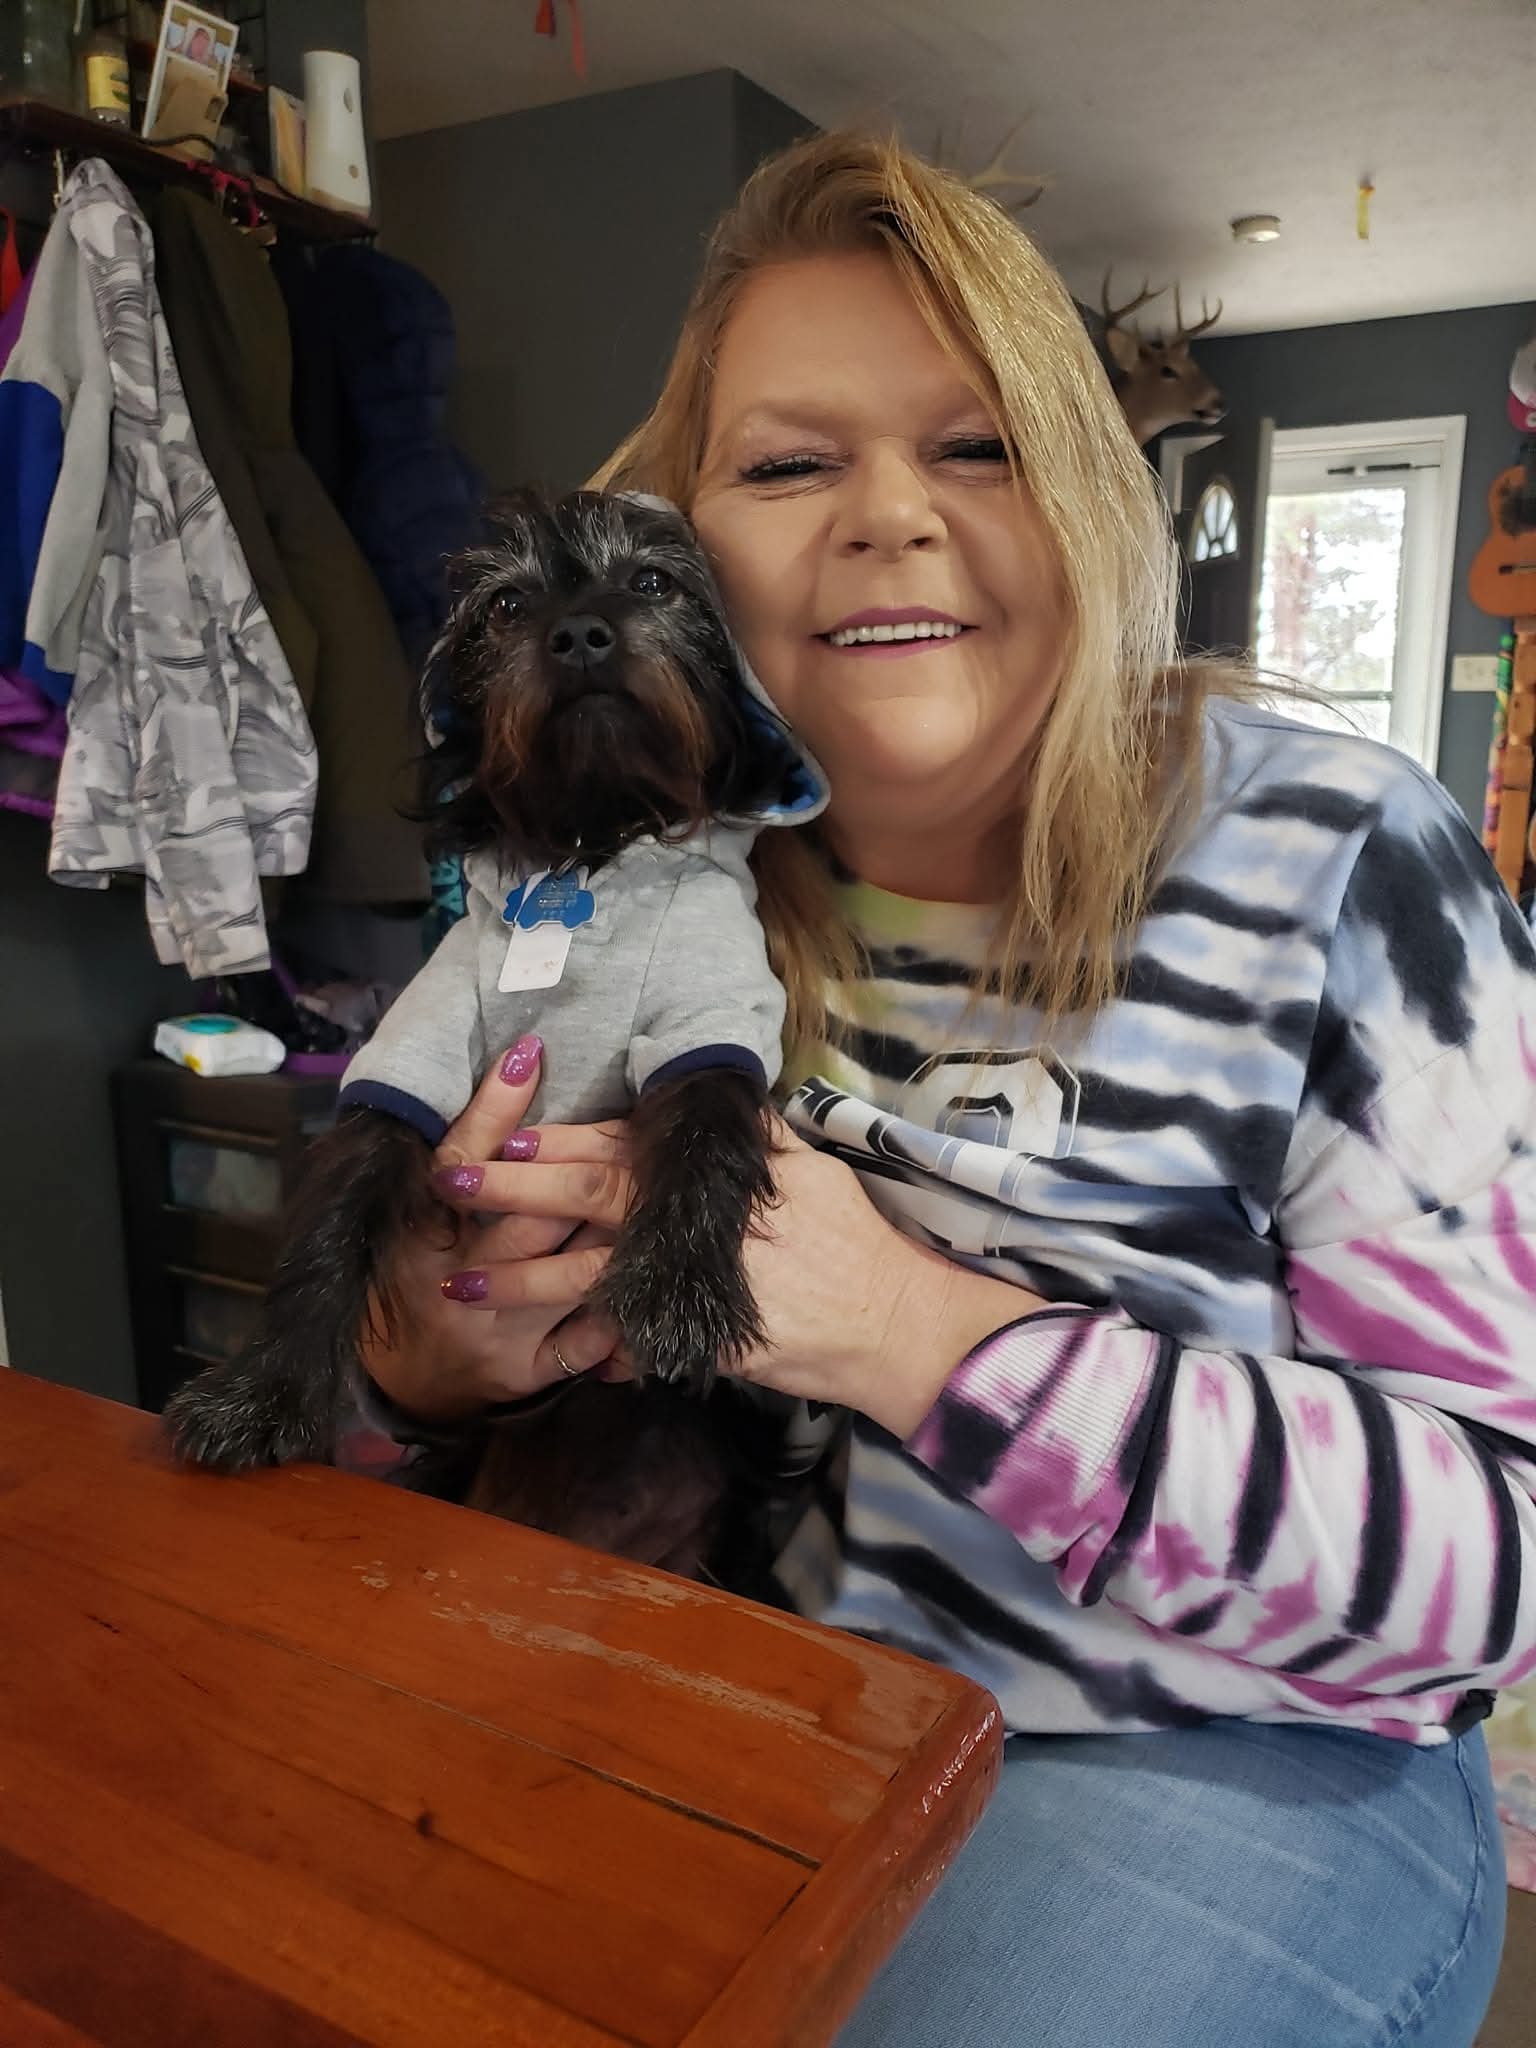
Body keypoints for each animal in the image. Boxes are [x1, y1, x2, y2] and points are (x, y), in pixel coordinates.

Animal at [163, 489, 829, 1580]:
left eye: (655, 582)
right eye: (507, 607)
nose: (581, 631)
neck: (589, 852)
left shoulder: (710, 1019)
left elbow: (703, 1136)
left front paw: (679, 1286)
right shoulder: (415, 1055)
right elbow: (335, 1223)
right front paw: (260, 1391)